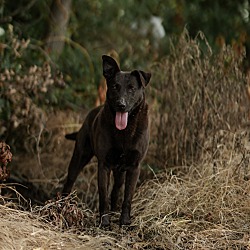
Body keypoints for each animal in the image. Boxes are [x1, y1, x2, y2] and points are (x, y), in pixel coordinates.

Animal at [63, 55, 151, 227]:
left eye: (131, 88)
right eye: (115, 87)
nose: (121, 105)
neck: (124, 131)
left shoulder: (134, 167)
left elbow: (127, 198)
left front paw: (124, 221)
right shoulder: (104, 165)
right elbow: (103, 196)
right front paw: (104, 221)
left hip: (120, 172)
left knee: (116, 191)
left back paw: (115, 210)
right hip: (79, 156)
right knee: (69, 181)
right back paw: (60, 205)